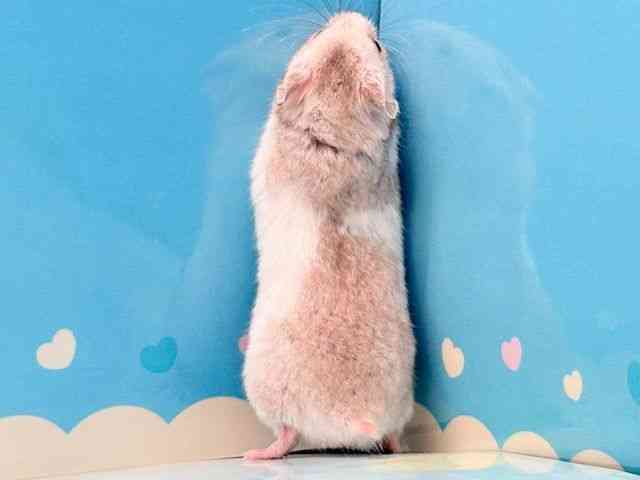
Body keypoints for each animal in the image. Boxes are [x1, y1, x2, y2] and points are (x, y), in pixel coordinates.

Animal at [242, 11, 415, 460]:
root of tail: (357, 421)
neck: (336, 130)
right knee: (393, 438)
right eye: (321, 33)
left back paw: (255, 453)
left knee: (286, 435)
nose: (355, 15)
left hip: (268, 393)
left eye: (377, 44)